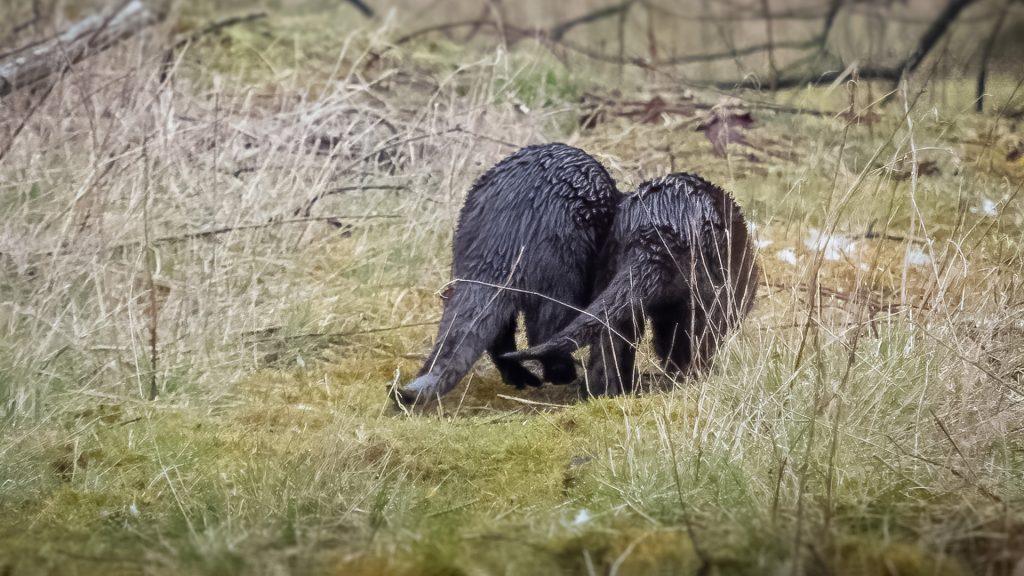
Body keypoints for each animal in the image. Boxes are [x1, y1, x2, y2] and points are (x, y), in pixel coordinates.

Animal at [397, 143, 621, 405]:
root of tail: (508, 233)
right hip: (561, 270)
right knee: (546, 329)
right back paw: (562, 375)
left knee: (500, 336)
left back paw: (520, 377)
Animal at [504, 173, 758, 396]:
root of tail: (655, 230)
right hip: (703, 287)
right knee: (697, 333)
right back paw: (694, 376)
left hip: (609, 263)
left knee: (611, 337)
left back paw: (605, 392)